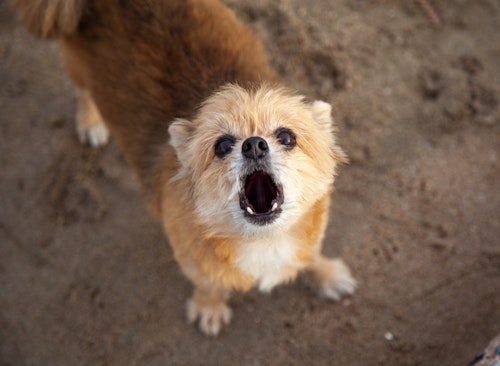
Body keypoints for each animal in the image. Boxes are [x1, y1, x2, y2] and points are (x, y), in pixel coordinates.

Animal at [10, 0, 356, 334]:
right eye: (222, 146)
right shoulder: (192, 260)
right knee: (82, 93)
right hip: (77, 66)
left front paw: (327, 274)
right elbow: (208, 284)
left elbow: (311, 254)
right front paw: (209, 307)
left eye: (287, 136)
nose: (254, 144)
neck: (264, 240)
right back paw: (90, 122)